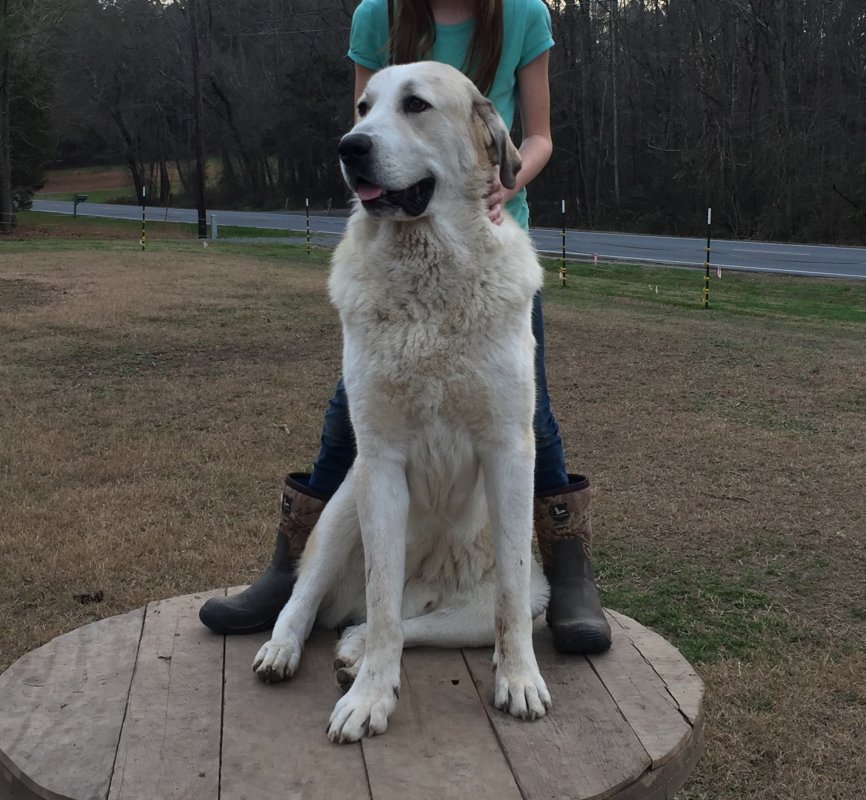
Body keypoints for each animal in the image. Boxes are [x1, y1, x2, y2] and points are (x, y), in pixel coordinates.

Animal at [251, 62, 548, 744]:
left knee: (426, 622)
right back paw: (287, 648)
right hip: (343, 504)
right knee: (312, 600)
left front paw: (519, 679)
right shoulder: (380, 462)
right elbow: (382, 597)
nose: (349, 147)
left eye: (415, 105)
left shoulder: (510, 452)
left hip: (487, 606)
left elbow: (509, 602)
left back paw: (354, 647)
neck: (427, 280)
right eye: (363, 106)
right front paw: (369, 699)